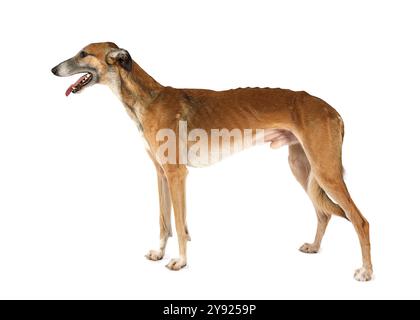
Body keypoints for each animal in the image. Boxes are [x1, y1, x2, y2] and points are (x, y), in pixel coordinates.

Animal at [51, 42, 370, 280]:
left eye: (83, 53)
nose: (53, 69)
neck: (148, 98)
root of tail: (332, 109)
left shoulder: (177, 174)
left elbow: (179, 225)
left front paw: (179, 262)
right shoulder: (160, 173)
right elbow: (164, 221)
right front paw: (159, 253)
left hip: (326, 172)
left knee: (359, 220)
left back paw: (366, 272)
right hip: (303, 168)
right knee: (324, 213)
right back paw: (314, 247)